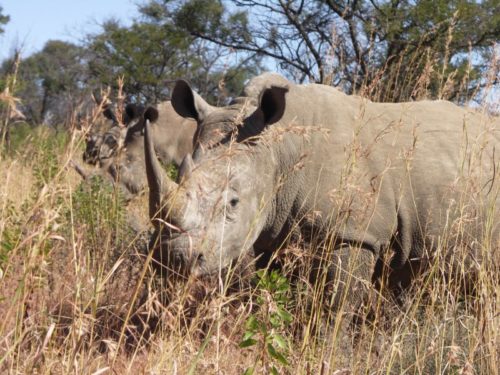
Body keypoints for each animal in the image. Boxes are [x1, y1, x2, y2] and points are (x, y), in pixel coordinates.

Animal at [143, 73, 498, 312]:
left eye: (233, 202)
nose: (174, 259)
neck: (278, 150)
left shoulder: (352, 232)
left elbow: (334, 308)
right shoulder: (275, 232)